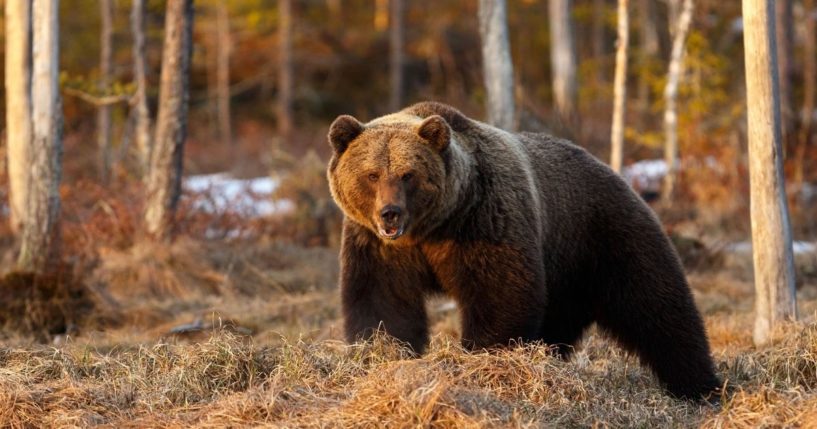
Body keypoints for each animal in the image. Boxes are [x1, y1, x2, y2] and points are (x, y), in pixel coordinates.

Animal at [326, 102, 720, 400]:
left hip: (604, 235)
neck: (432, 227)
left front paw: (484, 360)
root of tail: (616, 172)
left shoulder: (485, 219)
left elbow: (499, 294)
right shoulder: (379, 246)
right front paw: (382, 352)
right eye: (372, 174)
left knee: (658, 306)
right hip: (565, 278)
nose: (389, 213)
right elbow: (383, 301)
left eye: (408, 174)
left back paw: (699, 386)